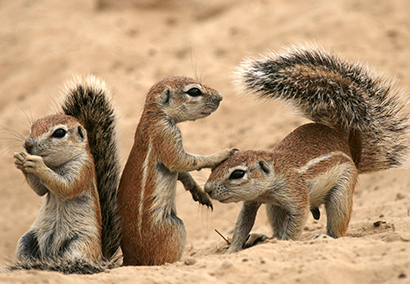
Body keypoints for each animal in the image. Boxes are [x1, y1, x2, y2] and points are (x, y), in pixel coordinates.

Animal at [10, 75, 120, 272]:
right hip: (26, 240)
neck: (57, 165)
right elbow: (40, 190)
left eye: (59, 132)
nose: (27, 143)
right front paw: (20, 160)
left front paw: (37, 165)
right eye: (33, 126)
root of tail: (101, 256)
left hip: (80, 242)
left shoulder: (82, 169)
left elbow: (67, 187)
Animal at [117, 76, 237, 266]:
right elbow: (183, 161)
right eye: (194, 91)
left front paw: (198, 191)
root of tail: (129, 259)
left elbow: (182, 170)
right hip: (175, 227)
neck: (155, 115)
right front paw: (223, 154)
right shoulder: (166, 135)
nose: (221, 97)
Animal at [205, 45, 410, 254]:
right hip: (273, 208)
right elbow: (242, 225)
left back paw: (325, 236)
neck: (274, 175)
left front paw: (286, 244)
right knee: (276, 226)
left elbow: (296, 223)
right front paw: (231, 250)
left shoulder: (296, 195)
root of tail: (346, 143)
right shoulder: (253, 201)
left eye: (238, 174)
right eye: (215, 167)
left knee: (339, 227)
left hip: (342, 193)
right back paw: (264, 237)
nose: (207, 190)